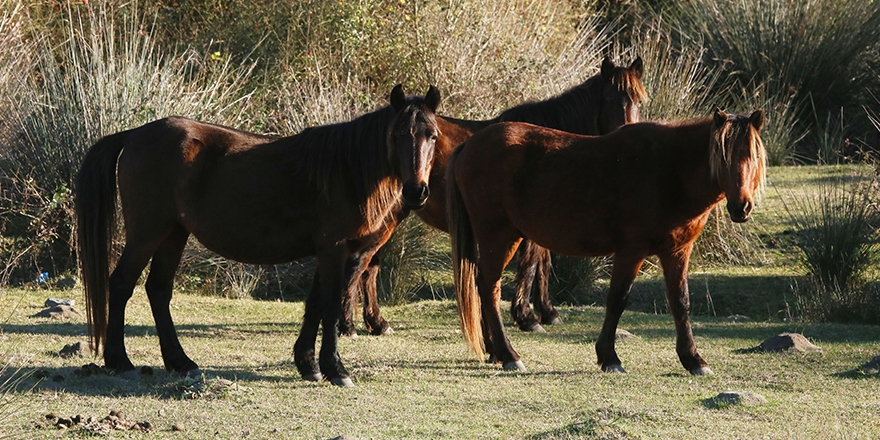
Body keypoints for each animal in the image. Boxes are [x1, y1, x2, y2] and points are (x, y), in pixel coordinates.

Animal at [77, 84, 440, 386]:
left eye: (432, 136)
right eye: (397, 135)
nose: (417, 192)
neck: (345, 170)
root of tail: (134, 135)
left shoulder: (328, 251)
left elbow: (315, 305)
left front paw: (308, 365)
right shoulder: (335, 250)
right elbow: (331, 306)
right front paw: (336, 369)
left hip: (173, 235)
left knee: (158, 290)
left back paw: (181, 362)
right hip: (147, 234)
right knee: (121, 284)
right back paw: (121, 361)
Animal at [346, 56, 648, 336]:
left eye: (639, 101)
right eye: (608, 99)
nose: (628, 135)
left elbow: (544, 263)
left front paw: (547, 311)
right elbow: (530, 264)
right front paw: (527, 317)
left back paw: (373, 323)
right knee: (362, 265)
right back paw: (355, 324)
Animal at [446, 108, 764, 372]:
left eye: (753, 156)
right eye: (723, 157)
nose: (741, 207)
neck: (667, 170)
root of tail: (469, 145)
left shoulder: (677, 252)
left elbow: (680, 303)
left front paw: (693, 359)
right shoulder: (631, 251)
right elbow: (617, 300)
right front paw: (609, 357)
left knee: (483, 287)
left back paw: (494, 351)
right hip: (499, 237)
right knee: (489, 288)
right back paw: (509, 354)